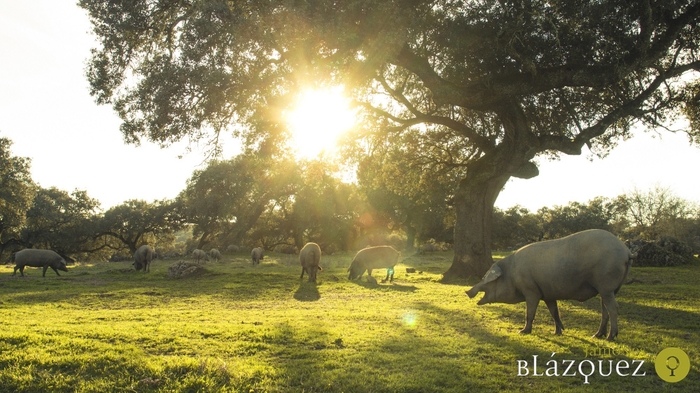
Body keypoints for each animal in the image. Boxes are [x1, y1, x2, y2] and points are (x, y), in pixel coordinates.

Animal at [464, 230, 636, 340]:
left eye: (486, 278)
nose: (467, 291)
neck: (512, 274)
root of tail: (626, 251)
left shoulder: (531, 291)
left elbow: (530, 313)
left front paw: (523, 332)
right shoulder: (548, 294)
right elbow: (554, 312)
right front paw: (558, 332)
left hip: (606, 285)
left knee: (613, 308)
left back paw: (610, 337)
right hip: (610, 289)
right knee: (604, 308)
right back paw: (597, 335)